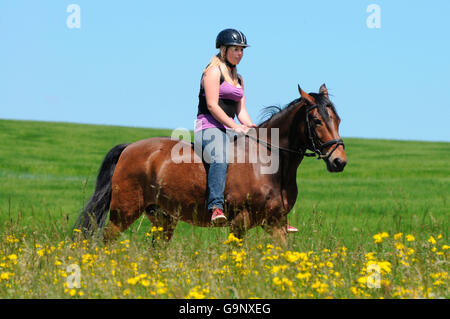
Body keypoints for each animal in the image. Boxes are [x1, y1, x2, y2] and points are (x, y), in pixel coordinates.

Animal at [74, 84, 348, 246]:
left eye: (337, 119)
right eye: (316, 120)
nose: (339, 161)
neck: (269, 163)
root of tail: (130, 147)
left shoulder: (276, 223)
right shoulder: (240, 222)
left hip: (163, 217)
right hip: (124, 213)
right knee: (105, 244)